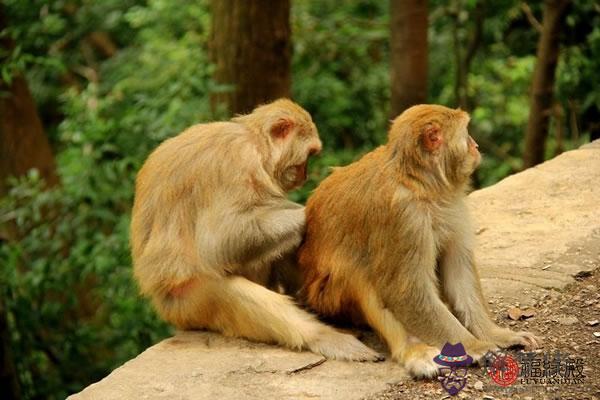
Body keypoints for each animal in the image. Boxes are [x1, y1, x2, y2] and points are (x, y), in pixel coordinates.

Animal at [132, 98, 380, 360]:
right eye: (310, 154)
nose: (305, 174)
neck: (255, 142)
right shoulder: (238, 161)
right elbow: (218, 241)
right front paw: (309, 211)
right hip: (187, 303)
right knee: (230, 290)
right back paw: (322, 336)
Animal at [298, 104, 540, 378]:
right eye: (466, 133)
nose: (476, 145)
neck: (421, 183)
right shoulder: (404, 215)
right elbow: (405, 292)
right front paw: (477, 346)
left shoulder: (452, 204)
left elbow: (458, 273)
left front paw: (496, 335)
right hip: (326, 300)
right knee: (359, 273)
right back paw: (415, 352)